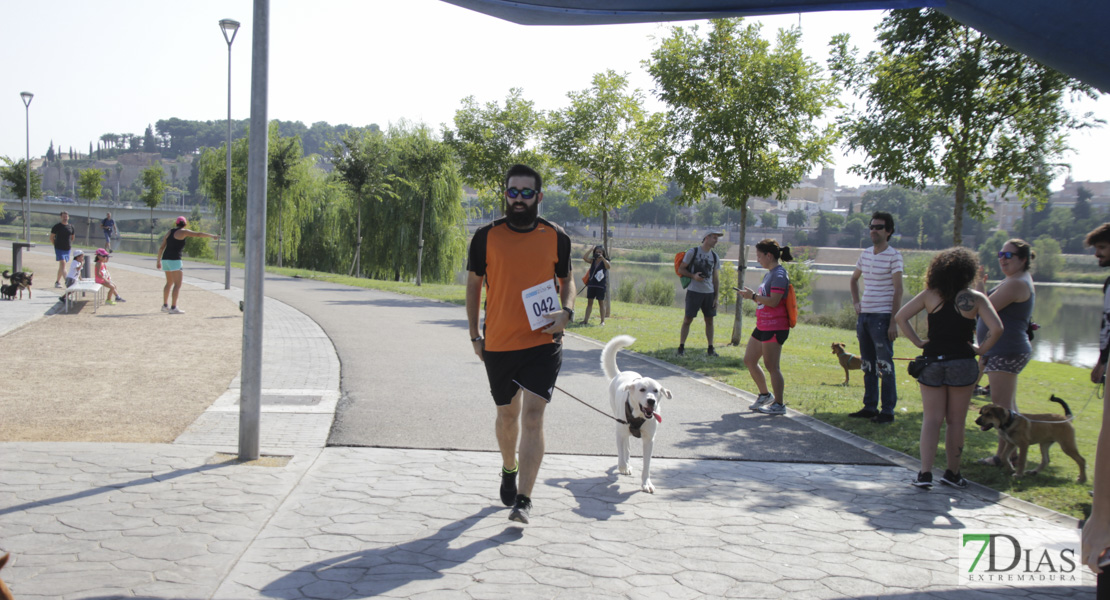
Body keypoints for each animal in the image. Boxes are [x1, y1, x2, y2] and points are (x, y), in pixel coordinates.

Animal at [603, 334, 670, 494]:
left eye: (656, 390)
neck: (639, 415)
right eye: (642, 390)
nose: (651, 401)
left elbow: (647, 465)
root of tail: (621, 373)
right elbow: (621, 454)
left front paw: (646, 483)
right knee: (626, 445)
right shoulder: (620, 432)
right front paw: (624, 466)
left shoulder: (649, 440)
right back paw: (626, 464)